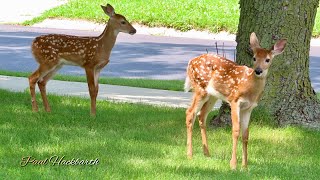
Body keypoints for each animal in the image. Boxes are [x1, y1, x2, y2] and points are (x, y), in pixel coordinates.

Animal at [184, 32, 286, 169]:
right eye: (254, 58)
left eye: (267, 60)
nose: (258, 70)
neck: (249, 86)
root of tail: (190, 62)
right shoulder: (234, 100)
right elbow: (236, 130)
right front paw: (233, 164)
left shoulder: (249, 108)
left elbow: (246, 134)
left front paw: (245, 166)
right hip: (200, 88)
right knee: (190, 113)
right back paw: (190, 154)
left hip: (213, 95)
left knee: (202, 115)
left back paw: (207, 153)